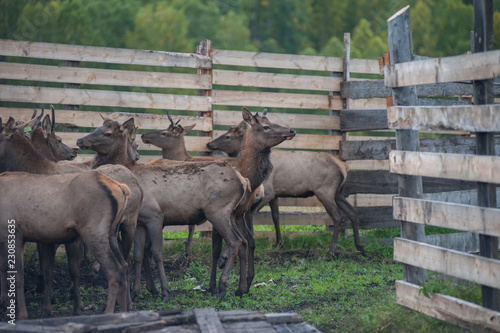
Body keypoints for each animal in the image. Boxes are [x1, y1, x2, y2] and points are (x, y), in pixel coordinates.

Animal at [0, 113, 143, 314]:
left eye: (107, 133)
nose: (79, 141)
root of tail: (127, 183)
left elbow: (65, 269)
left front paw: (69, 304)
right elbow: (45, 268)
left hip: (128, 224)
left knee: (126, 263)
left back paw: (126, 303)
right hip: (111, 232)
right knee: (123, 263)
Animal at [76, 116, 256, 298]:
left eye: (107, 133)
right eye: (97, 128)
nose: (79, 140)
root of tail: (243, 180)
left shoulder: (155, 216)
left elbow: (156, 253)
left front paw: (164, 290)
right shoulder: (140, 222)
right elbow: (138, 255)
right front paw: (136, 291)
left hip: (218, 211)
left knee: (235, 241)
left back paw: (223, 286)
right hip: (234, 214)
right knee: (244, 241)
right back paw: (241, 288)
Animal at [146, 107, 296, 290]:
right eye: (266, 126)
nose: (292, 130)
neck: (249, 177)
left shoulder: (240, 212)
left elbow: (249, 241)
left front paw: (246, 281)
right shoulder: (220, 212)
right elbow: (217, 249)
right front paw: (215, 284)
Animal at [205, 114, 366, 254]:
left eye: (227, 136)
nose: (209, 144)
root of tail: (343, 167)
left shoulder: (268, 192)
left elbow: (250, 214)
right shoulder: (275, 195)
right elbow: (276, 217)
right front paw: (279, 243)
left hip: (325, 191)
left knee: (338, 216)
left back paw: (332, 250)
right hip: (337, 192)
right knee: (352, 211)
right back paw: (359, 247)